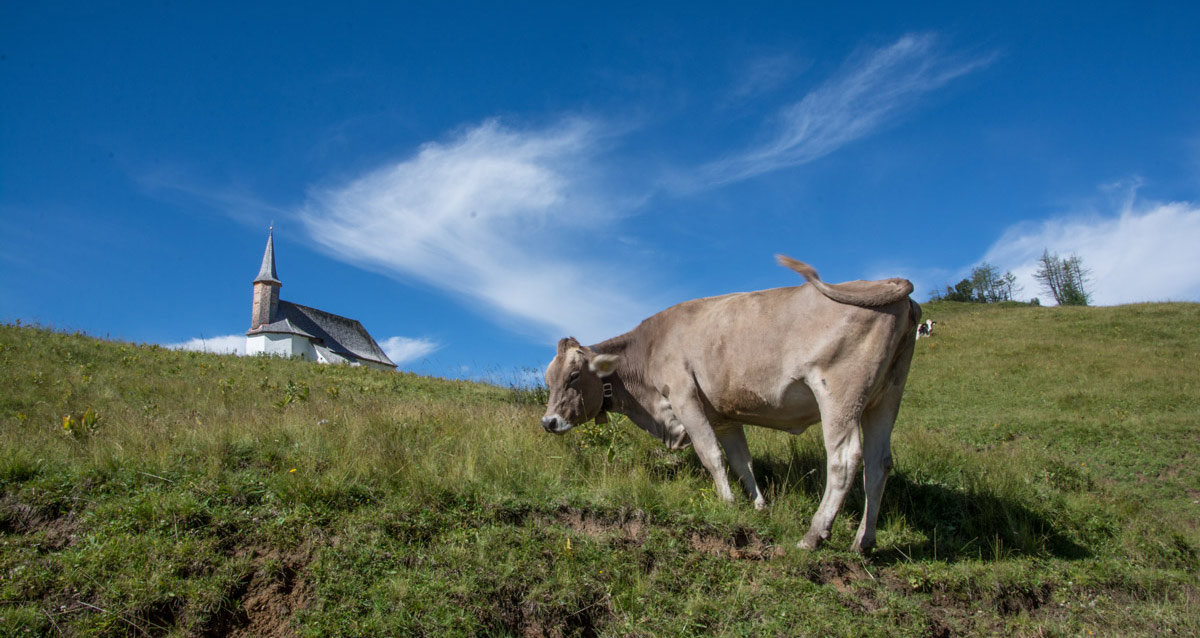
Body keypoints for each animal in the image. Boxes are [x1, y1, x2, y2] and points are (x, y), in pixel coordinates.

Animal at [542, 255, 916, 554]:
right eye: (548, 380)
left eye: (574, 375)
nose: (548, 422)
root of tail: (886, 283)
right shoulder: (722, 415)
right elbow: (741, 461)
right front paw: (759, 506)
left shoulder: (684, 396)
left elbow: (711, 455)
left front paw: (727, 504)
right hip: (885, 397)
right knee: (878, 464)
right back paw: (863, 542)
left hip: (840, 394)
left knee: (844, 459)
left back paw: (813, 535)